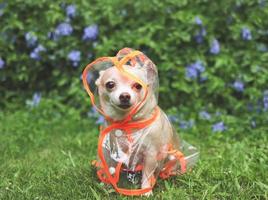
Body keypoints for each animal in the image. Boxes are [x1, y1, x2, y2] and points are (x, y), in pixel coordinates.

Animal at [94, 51, 180, 195]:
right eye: (110, 84)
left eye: (138, 86)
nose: (124, 95)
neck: (128, 123)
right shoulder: (109, 152)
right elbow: (109, 169)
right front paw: (106, 185)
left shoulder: (151, 154)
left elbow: (147, 174)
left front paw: (145, 191)